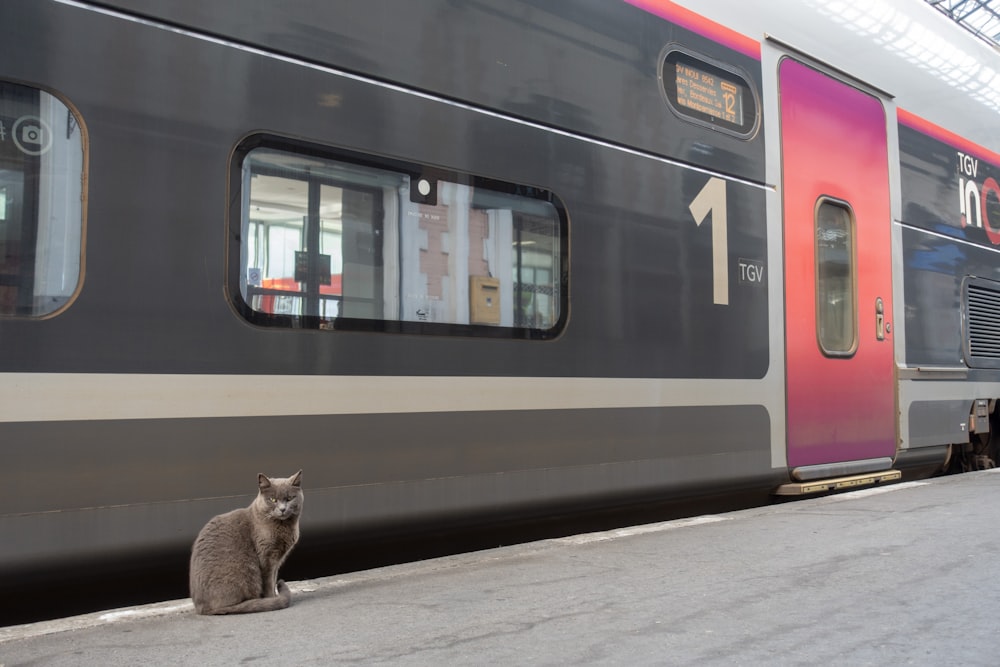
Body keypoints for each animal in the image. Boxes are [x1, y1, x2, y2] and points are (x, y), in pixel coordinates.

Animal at [189, 472, 302, 612]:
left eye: (290, 498)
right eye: (273, 499)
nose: (282, 509)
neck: (283, 527)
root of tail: (202, 608)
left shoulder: (277, 560)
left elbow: (274, 577)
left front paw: (275, 597)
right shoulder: (267, 558)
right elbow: (269, 582)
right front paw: (272, 598)